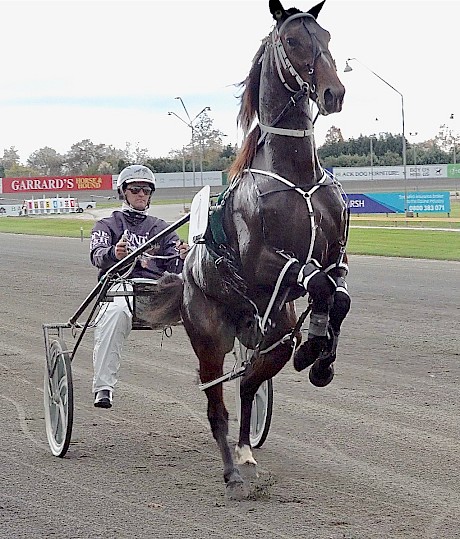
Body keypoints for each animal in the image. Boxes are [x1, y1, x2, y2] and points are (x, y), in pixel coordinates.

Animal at [143, 0, 348, 502]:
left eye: (327, 36)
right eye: (292, 40)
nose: (333, 92)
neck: (295, 176)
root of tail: (186, 279)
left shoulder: (336, 256)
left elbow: (337, 294)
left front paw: (320, 356)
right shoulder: (262, 263)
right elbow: (317, 282)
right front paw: (316, 348)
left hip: (272, 335)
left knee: (250, 383)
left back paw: (246, 452)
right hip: (210, 338)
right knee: (216, 401)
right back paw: (231, 472)